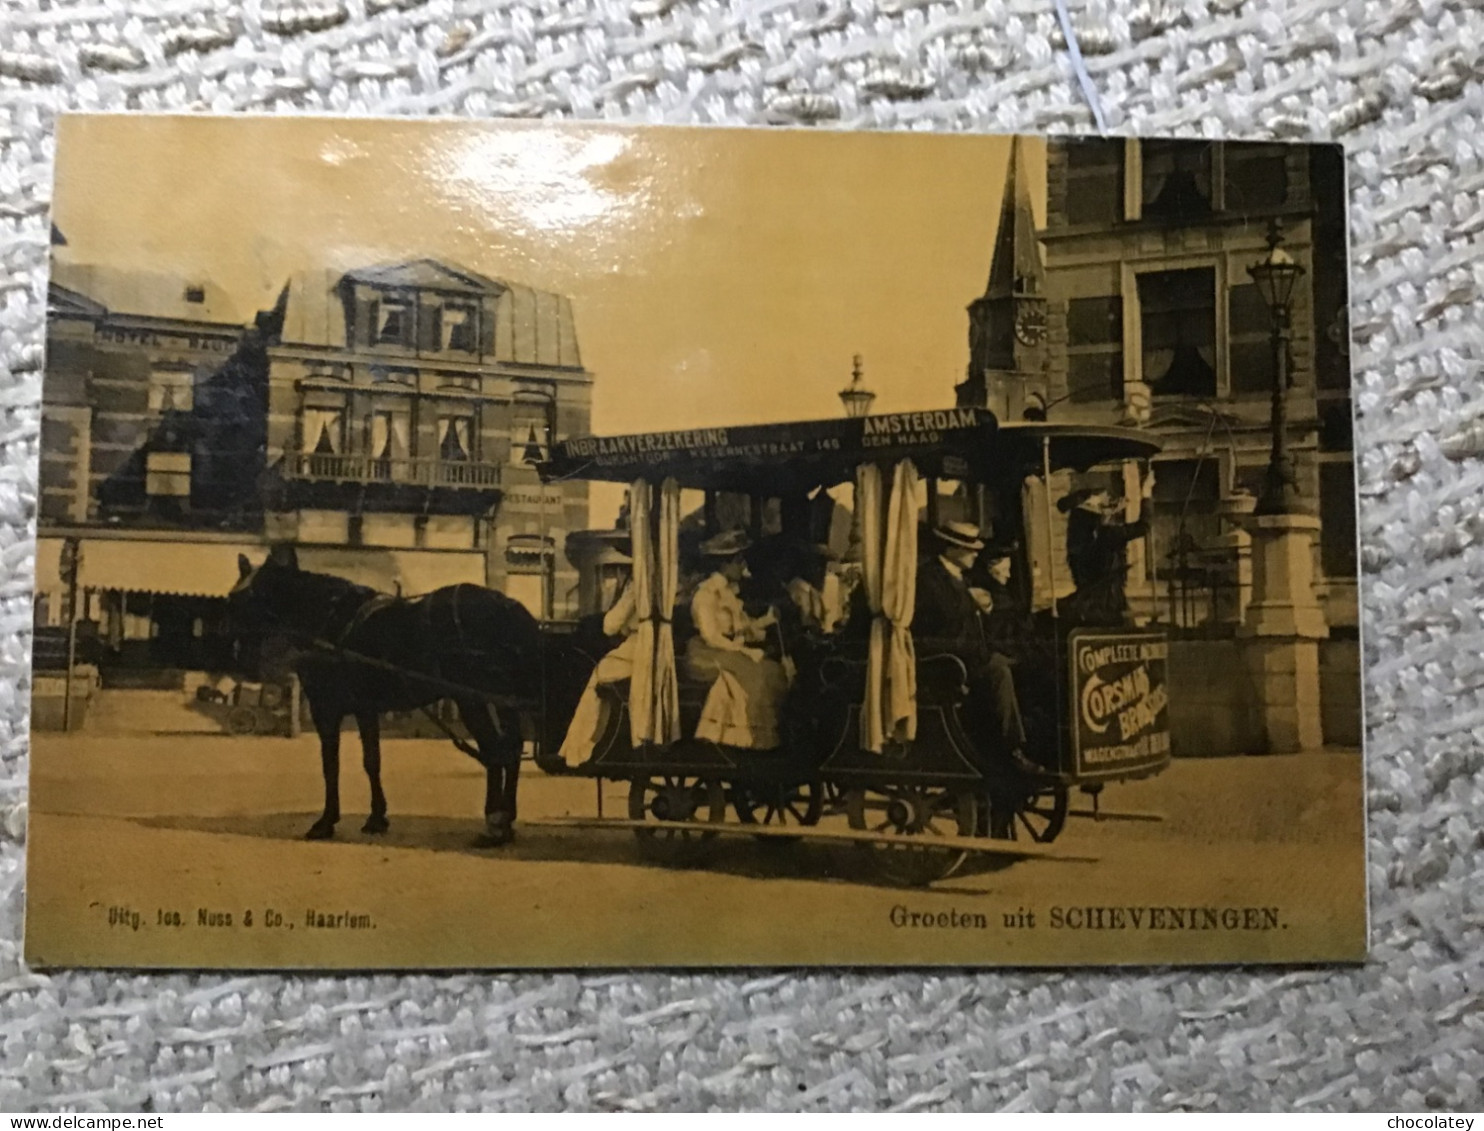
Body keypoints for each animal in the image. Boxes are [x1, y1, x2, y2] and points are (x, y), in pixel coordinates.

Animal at [235, 546, 546, 843]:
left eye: (250, 597)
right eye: (234, 597)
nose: (238, 654)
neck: (328, 620)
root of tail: (508, 606)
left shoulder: (327, 709)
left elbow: (331, 765)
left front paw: (326, 821)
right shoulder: (366, 709)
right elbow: (372, 761)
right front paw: (376, 818)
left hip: (474, 700)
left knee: (496, 750)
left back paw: (494, 822)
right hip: (500, 701)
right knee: (511, 748)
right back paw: (505, 818)